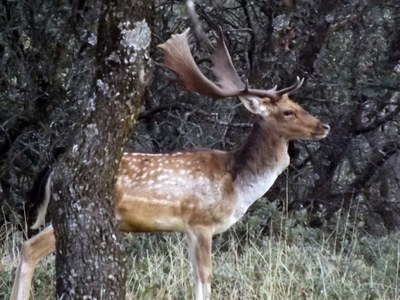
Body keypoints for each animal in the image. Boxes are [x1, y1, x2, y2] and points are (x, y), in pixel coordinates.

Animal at [10, 28, 328, 300]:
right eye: (288, 112)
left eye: (298, 105)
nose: (323, 126)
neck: (237, 184)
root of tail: (53, 168)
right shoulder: (201, 222)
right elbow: (205, 278)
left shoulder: (187, 230)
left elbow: (195, 277)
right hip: (70, 210)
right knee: (30, 247)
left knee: (25, 245)